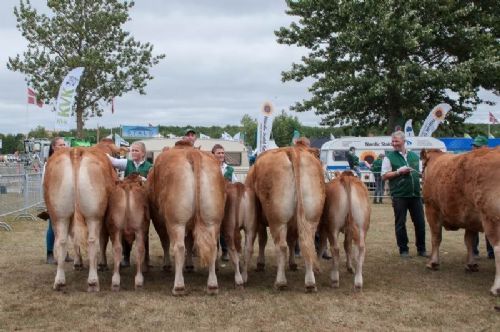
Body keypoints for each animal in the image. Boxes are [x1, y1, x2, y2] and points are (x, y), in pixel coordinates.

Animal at [43, 139, 120, 292]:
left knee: (61, 241)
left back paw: (59, 281)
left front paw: (77, 263)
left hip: (59, 215)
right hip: (94, 215)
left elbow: (74, 238)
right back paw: (93, 281)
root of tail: (76, 150)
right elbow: (102, 240)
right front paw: (102, 264)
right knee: (93, 241)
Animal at [148, 140, 225, 296]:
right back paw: (212, 285)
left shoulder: (158, 220)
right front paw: (189, 266)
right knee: (212, 246)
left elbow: (165, 242)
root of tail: (192, 153)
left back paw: (178, 286)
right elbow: (190, 242)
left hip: (176, 222)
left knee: (178, 247)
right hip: (212, 220)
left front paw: (167, 265)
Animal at [245, 141, 324, 292]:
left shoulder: (260, 221)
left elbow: (263, 240)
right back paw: (310, 283)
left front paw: (260, 264)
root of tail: (293, 151)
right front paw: (292, 264)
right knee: (307, 244)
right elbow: (293, 241)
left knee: (281, 246)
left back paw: (280, 282)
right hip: (311, 217)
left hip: (277, 219)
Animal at [422, 149, 500, 294]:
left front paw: (433, 262)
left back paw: (496, 287)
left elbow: (436, 237)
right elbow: (469, 241)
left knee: (498, 248)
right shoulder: (471, 219)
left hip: (491, 218)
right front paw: (471, 264)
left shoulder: (431, 209)